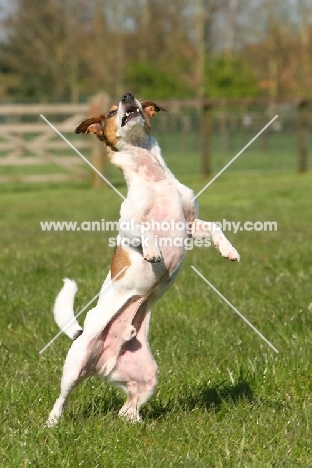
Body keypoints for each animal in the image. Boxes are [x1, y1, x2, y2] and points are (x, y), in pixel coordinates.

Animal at [45, 93, 239, 426]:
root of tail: (103, 364)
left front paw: (228, 250)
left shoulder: (191, 223)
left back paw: (135, 423)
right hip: (75, 363)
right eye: (112, 111)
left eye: (132, 99)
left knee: (128, 406)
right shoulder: (127, 226)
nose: (127, 97)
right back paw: (52, 424)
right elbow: (145, 231)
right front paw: (152, 252)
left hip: (147, 375)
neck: (155, 179)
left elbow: (215, 227)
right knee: (61, 398)